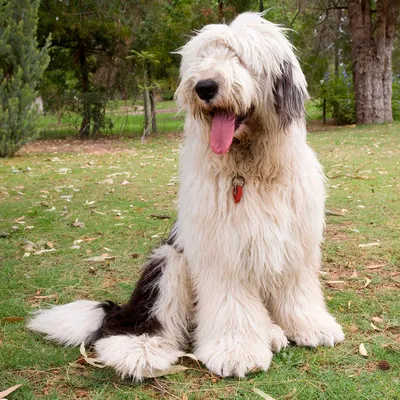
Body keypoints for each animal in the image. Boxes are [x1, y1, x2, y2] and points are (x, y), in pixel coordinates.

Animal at [27, 12, 344, 380]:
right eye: (203, 58)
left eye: (240, 57)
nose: (204, 87)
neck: (248, 170)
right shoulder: (221, 248)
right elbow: (231, 302)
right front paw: (236, 351)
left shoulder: (295, 241)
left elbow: (297, 289)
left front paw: (310, 326)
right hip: (169, 262)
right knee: (145, 320)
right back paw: (139, 350)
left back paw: (272, 332)